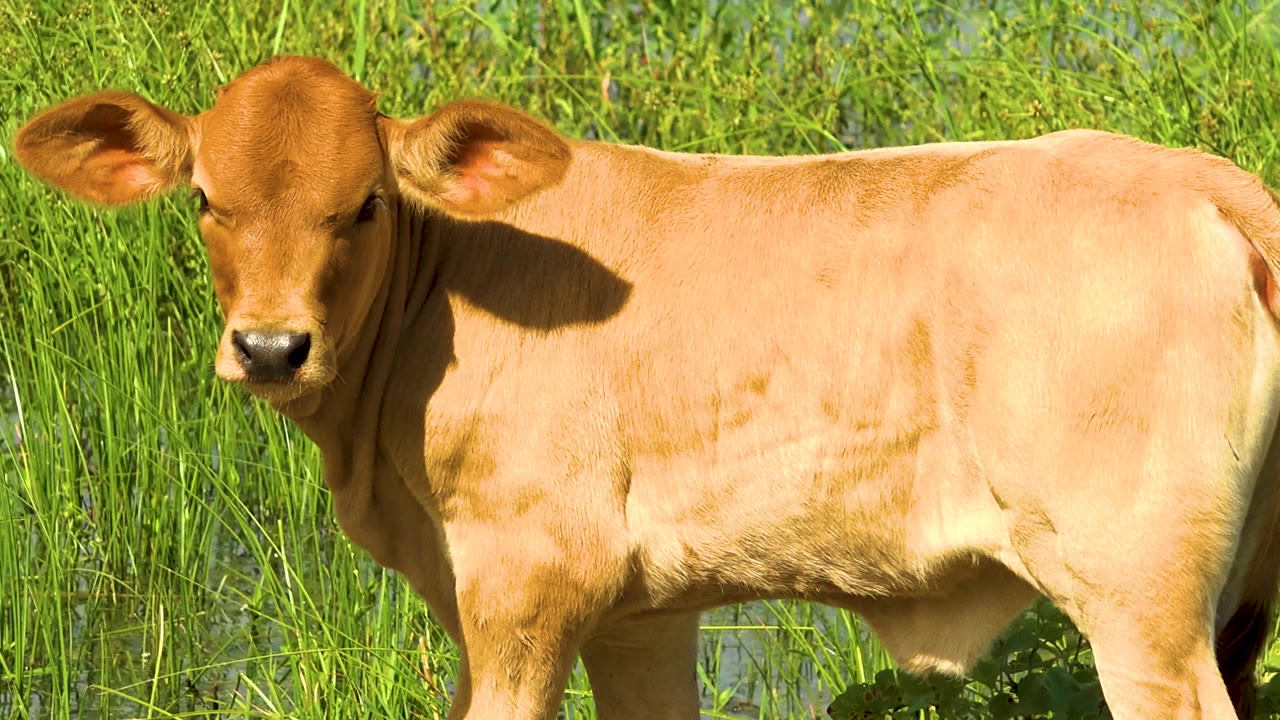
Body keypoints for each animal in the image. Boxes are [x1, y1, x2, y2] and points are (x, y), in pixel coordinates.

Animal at [14, 55, 1280, 720]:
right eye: (205, 200)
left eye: (363, 203)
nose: (272, 348)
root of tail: (1204, 182)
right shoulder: (638, 614)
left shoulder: (527, 585)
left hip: (1139, 601)